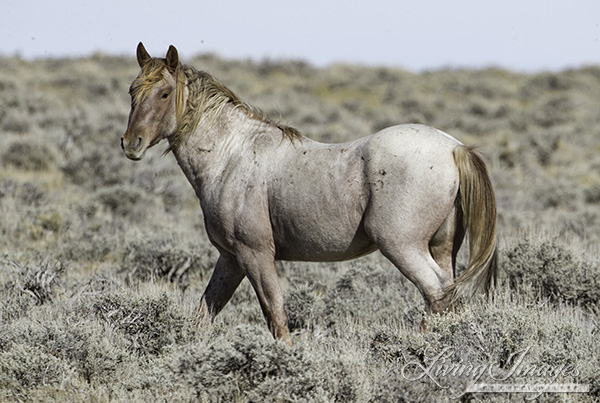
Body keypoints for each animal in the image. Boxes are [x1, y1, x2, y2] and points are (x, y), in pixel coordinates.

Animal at [122, 45, 496, 348]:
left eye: (165, 93)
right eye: (132, 91)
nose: (130, 143)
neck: (231, 155)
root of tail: (454, 148)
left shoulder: (255, 256)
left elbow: (275, 315)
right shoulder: (230, 259)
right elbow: (205, 313)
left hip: (402, 246)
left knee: (436, 293)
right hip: (441, 248)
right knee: (447, 297)